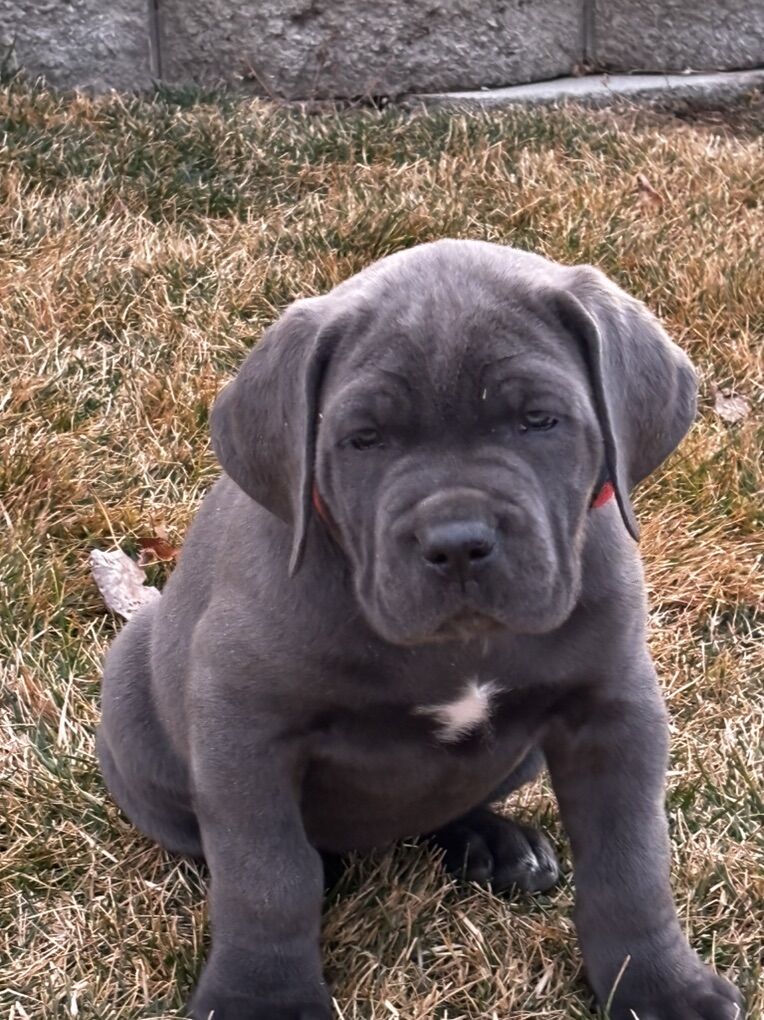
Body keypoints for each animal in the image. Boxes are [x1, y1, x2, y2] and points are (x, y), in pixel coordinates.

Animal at [98, 240, 743, 1020]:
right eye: (364, 439)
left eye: (539, 420)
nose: (458, 541)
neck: (456, 645)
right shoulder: (243, 726)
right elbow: (267, 877)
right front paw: (265, 998)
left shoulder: (613, 712)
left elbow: (631, 862)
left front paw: (660, 985)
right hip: (132, 699)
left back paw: (497, 843)